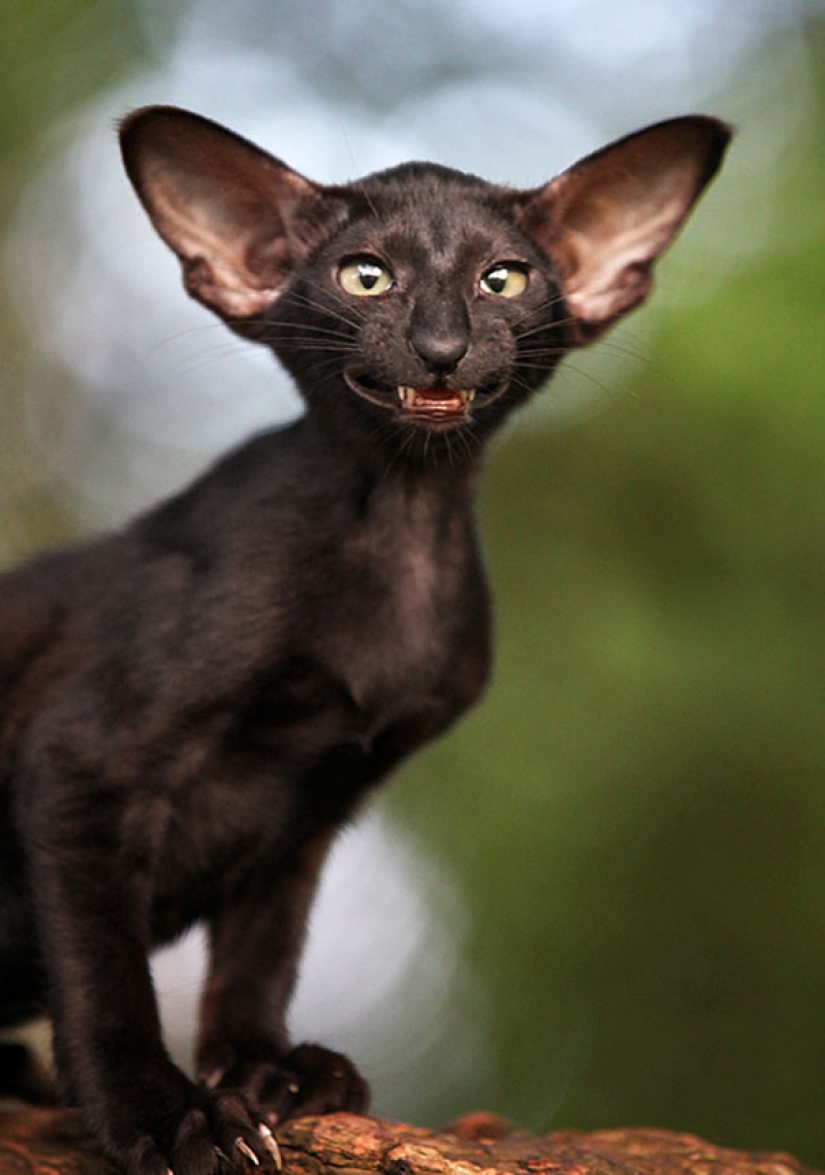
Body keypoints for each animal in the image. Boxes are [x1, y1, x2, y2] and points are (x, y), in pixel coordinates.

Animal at [0, 105, 728, 1170]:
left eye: (501, 280)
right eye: (366, 276)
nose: (441, 344)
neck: (400, 523)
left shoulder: (313, 807)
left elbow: (261, 955)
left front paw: (269, 1073)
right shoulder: (77, 761)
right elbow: (105, 972)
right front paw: (160, 1114)